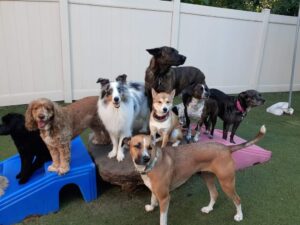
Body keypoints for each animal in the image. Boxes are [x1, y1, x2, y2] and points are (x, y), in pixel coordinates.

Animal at [123, 125, 266, 224]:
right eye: (137, 146)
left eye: (150, 148)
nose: (146, 158)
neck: (153, 162)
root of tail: (226, 148)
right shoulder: (155, 190)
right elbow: (153, 198)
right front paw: (152, 207)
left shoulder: (165, 198)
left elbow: (162, 219)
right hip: (207, 177)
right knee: (215, 194)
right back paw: (208, 209)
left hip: (227, 182)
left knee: (237, 199)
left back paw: (239, 216)